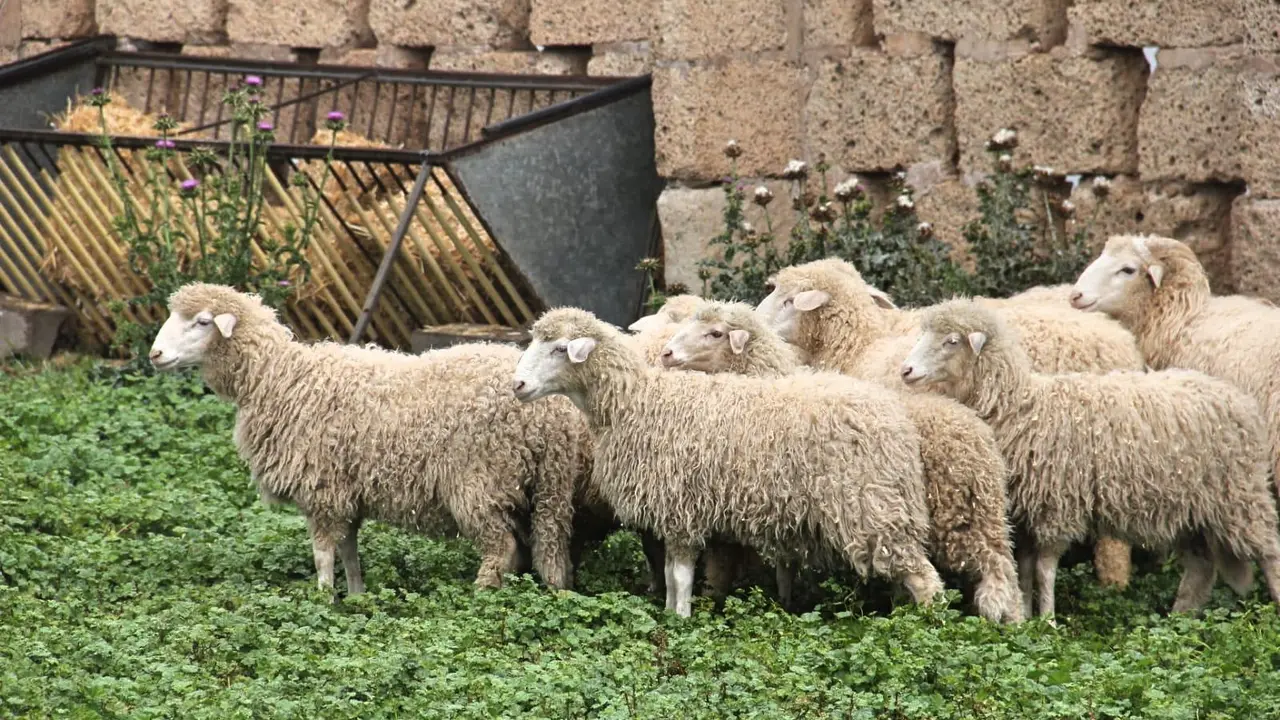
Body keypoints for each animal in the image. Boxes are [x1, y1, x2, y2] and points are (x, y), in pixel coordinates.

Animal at [148, 283, 594, 596]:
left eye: (202, 322)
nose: (154, 355)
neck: (279, 379)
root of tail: (554, 415)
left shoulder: (322, 489)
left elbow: (323, 555)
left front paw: (323, 602)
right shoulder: (346, 492)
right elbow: (349, 552)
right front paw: (357, 596)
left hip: (480, 479)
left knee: (502, 548)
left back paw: (479, 597)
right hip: (544, 486)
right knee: (543, 550)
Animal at [511, 306, 946, 618]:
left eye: (558, 349)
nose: (517, 385)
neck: (637, 402)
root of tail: (896, 420)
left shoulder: (681, 509)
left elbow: (680, 577)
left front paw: (681, 620)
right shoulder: (677, 513)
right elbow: (669, 576)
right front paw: (669, 615)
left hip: (871, 505)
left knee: (924, 578)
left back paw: (927, 628)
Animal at [661, 301, 1022, 623]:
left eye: (715, 333)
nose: (666, 354)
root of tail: (979, 437)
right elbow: (780, 568)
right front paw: (783, 601)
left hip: (909, 510)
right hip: (977, 516)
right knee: (1004, 570)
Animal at [899, 298, 1280, 618]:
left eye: (951, 341)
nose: (906, 370)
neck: (1021, 406)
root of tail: (1237, 399)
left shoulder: (1056, 506)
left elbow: (1044, 569)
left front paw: (1048, 620)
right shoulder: (1026, 513)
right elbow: (1024, 569)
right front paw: (1026, 615)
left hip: (1240, 495)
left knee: (1270, 550)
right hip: (1192, 509)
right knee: (1201, 568)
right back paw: (1179, 620)